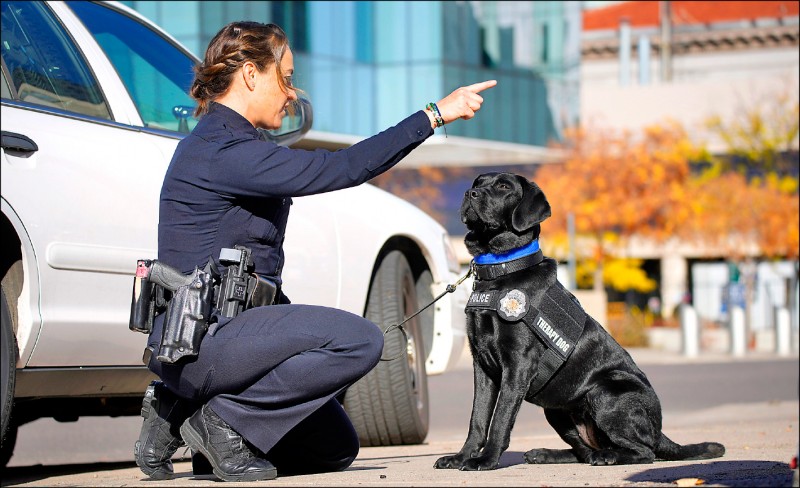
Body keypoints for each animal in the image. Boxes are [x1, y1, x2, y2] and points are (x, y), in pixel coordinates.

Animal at [438, 173, 724, 470]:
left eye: (504, 186)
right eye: (478, 182)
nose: (470, 193)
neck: (500, 272)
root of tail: (659, 431)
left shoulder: (517, 364)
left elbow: (500, 418)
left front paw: (487, 459)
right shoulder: (482, 365)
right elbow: (478, 418)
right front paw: (462, 456)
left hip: (606, 391)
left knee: (644, 451)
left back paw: (608, 456)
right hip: (556, 407)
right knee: (584, 451)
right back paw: (546, 453)